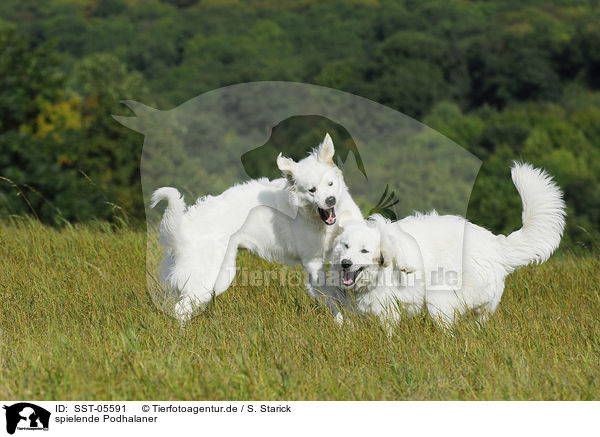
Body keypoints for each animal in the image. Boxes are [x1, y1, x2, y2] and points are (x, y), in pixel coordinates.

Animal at [152, 133, 364, 320]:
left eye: (330, 184)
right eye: (312, 190)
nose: (330, 200)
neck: (319, 222)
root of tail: (184, 228)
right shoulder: (313, 264)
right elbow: (334, 299)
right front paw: (346, 324)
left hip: (218, 278)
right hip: (206, 281)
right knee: (180, 310)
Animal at [328, 162, 568, 328]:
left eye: (365, 251)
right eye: (345, 246)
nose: (346, 263)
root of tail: (496, 245)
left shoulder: (388, 310)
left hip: (439, 299)